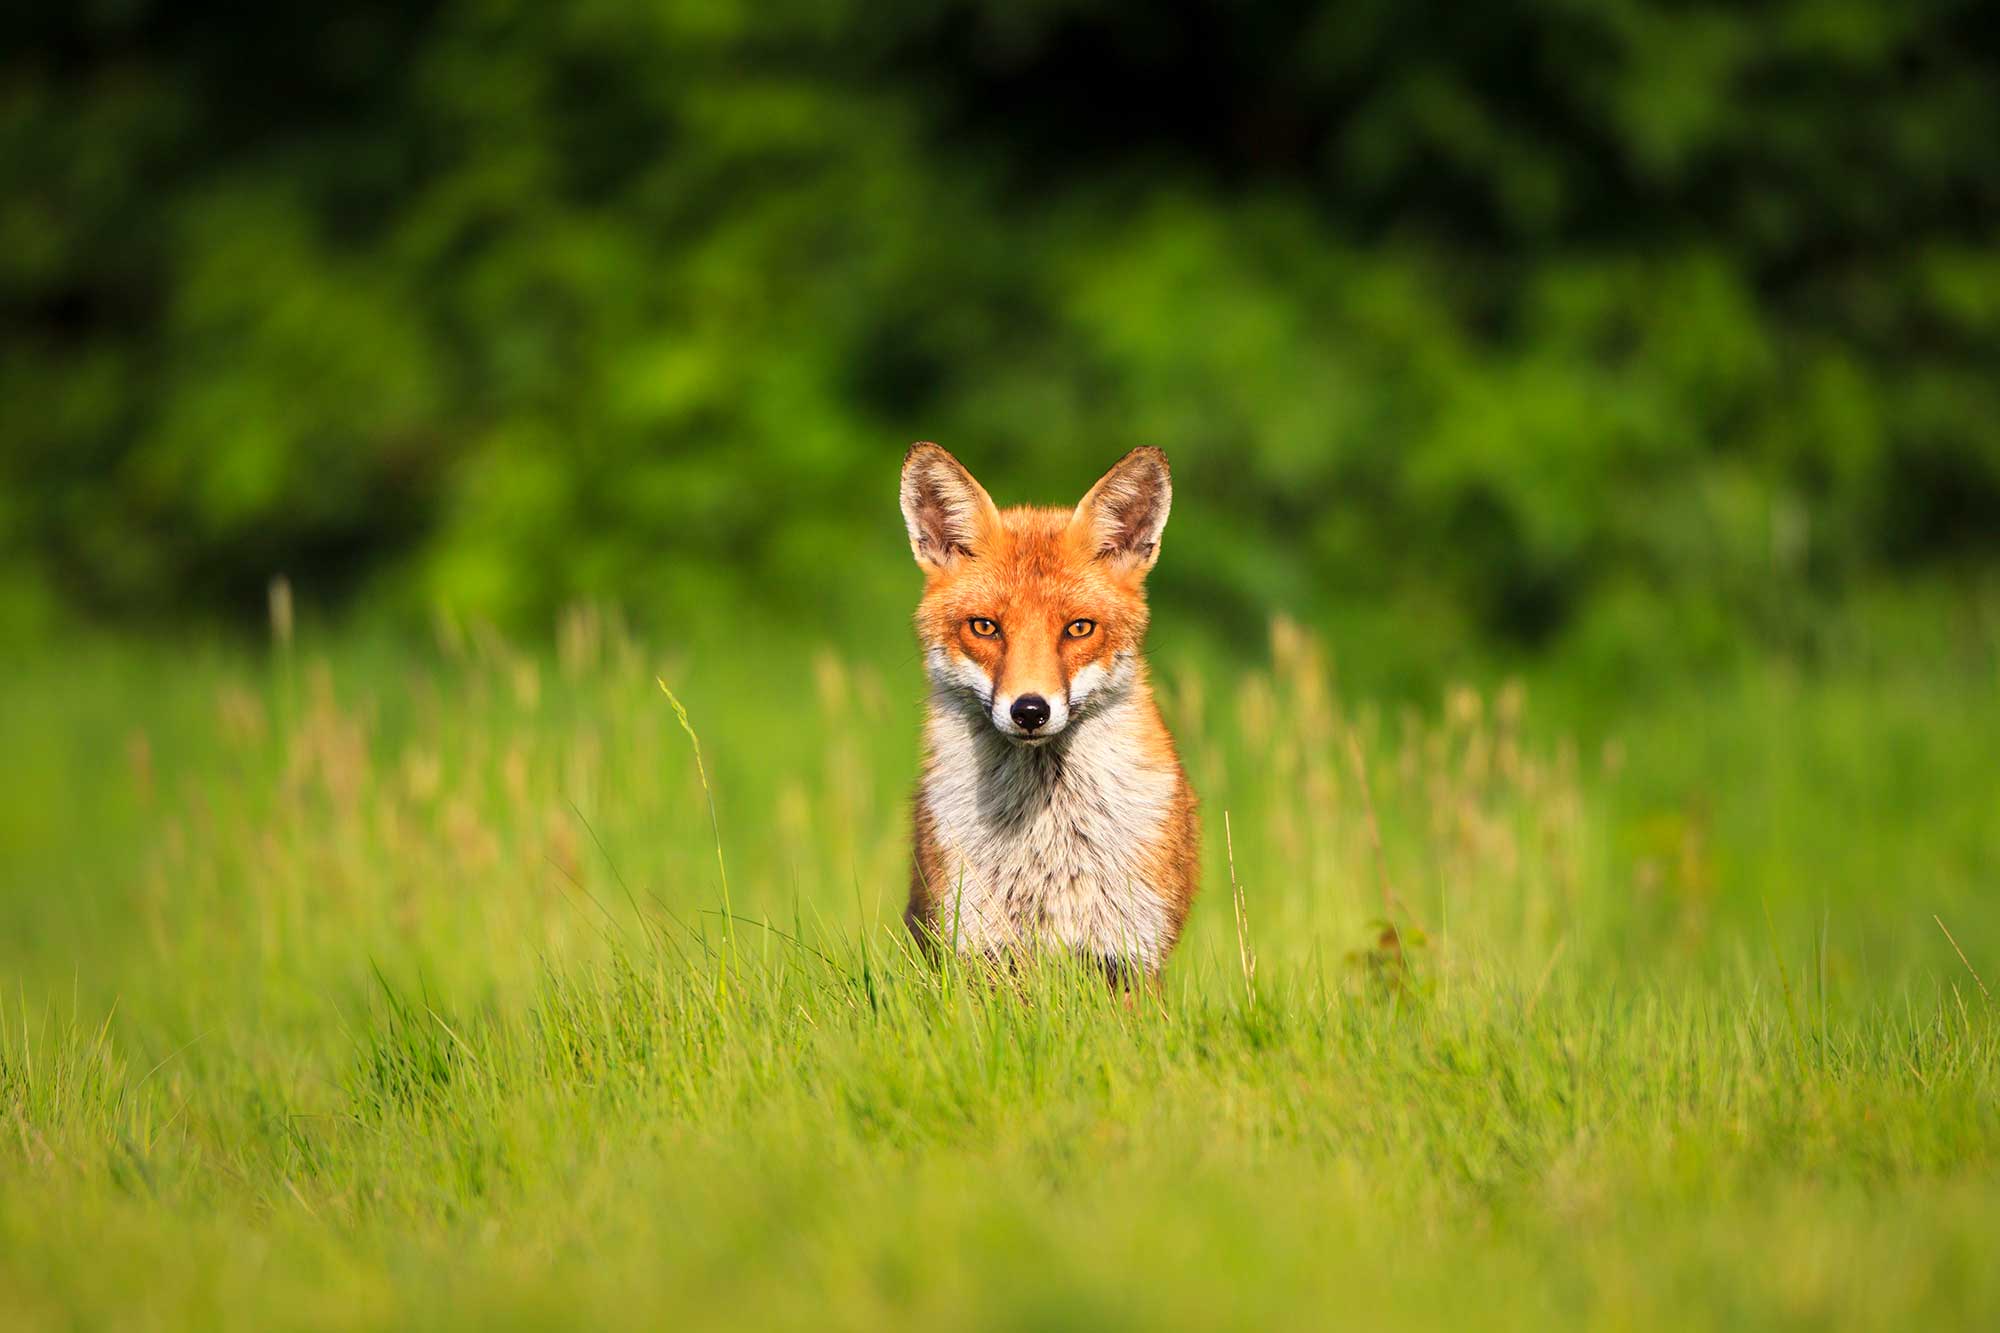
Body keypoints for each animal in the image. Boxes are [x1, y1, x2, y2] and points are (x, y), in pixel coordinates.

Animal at [900, 440, 1192, 972]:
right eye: (985, 627)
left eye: (1079, 628)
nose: (1030, 711)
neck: (1047, 844)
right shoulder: (973, 943)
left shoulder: (1129, 951)